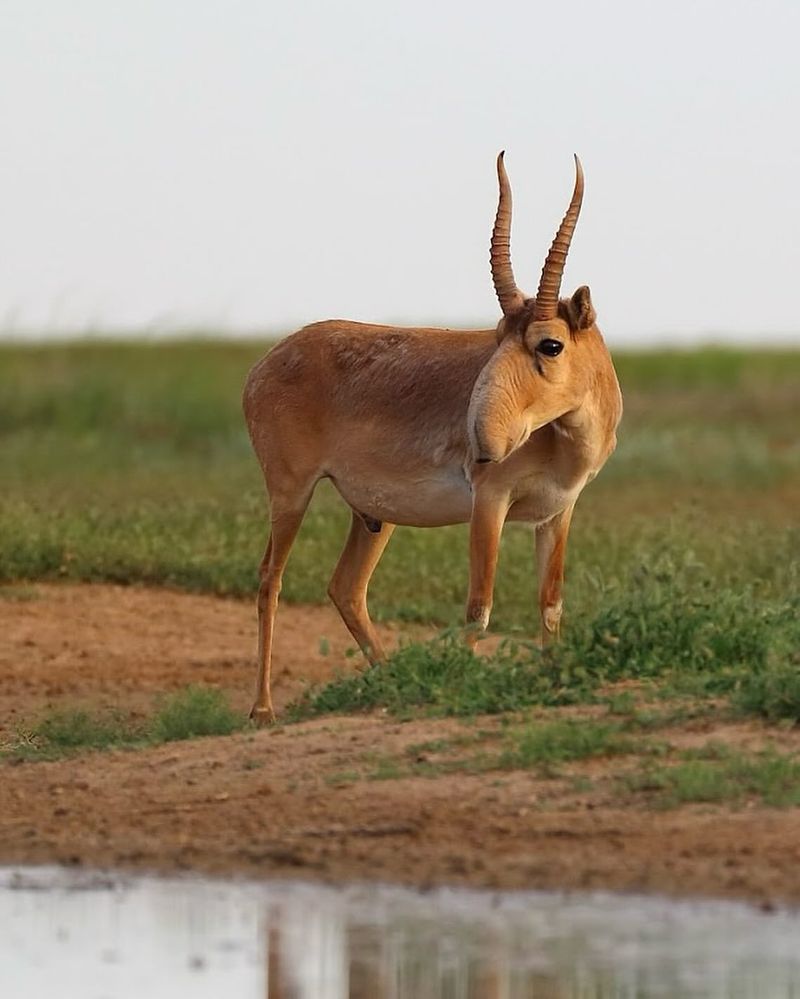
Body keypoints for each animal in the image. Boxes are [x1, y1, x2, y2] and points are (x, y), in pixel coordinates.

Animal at [244, 152, 624, 724]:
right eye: (497, 336)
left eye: (550, 344)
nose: (483, 443)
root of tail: (265, 365)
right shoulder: (490, 504)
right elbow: (478, 608)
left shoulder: (557, 513)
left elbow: (550, 605)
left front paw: (552, 682)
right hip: (291, 494)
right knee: (271, 578)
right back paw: (263, 711)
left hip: (374, 518)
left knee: (346, 588)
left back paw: (391, 684)